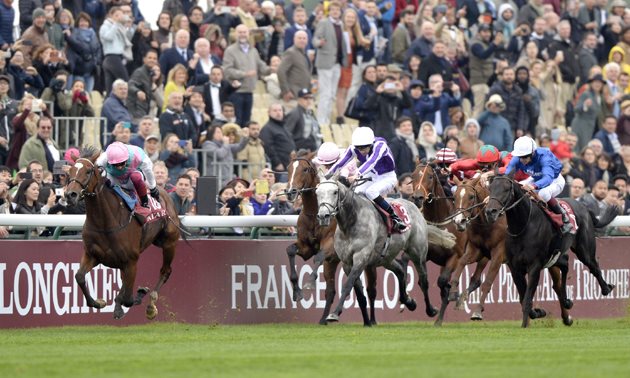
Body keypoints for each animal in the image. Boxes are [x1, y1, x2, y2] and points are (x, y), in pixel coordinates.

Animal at [65, 146, 181, 320]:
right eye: (70, 171)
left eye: (88, 171)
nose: (70, 195)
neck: (105, 221)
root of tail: (166, 193)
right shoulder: (93, 255)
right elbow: (79, 277)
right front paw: (99, 302)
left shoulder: (131, 261)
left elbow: (127, 298)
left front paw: (131, 300)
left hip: (169, 243)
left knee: (165, 271)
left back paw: (151, 305)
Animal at [318, 173, 456, 324]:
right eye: (317, 193)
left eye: (334, 192)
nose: (323, 216)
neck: (350, 223)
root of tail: (415, 207)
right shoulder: (347, 263)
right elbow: (359, 294)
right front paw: (365, 321)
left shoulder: (361, 257)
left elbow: (348, 285)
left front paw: (334, 314)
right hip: (386, 258)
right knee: (400, 270)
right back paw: (408, 301)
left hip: (417, 253)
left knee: (423, 281)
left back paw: (430, 310)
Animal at [452, 176, 512, 320]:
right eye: (454, 197)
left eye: (471, 196)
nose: (459, 221)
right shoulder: (476, 250)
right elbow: (462, 262)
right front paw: (454, 291)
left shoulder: (498, 253)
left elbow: (487, 282)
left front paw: (478, 310)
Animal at [488, 174, 616, 328]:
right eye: (490, 189)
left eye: (506, 189)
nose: (490, 212)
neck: (523, 227)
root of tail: (583, 206)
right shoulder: (514, 268)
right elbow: (523, 297)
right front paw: (538, 312)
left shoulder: (535, 266)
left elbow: (527, 298)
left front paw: (526, 324)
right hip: (555, 257)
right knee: (565, 265)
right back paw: (567, 301)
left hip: (584, 249)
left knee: (594, 266)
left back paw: (606, 288)